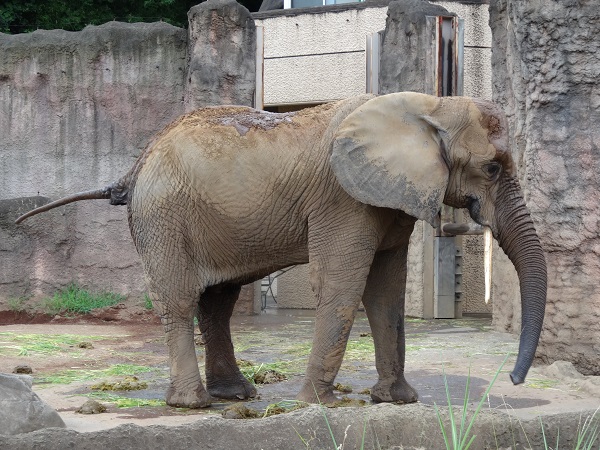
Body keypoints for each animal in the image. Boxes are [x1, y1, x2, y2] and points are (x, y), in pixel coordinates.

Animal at [15, 91, 548, 408]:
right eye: (493, 168)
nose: (515, 380)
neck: (429, 105)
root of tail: (135, 165)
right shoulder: (342, 199)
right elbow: (342, 282)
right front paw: (321, 405)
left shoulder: (387, 198)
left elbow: (385, 292)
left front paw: (397, 400)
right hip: (163, 217)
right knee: (181, 300)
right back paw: (194, 404)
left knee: (218, 301)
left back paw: (235, 396)